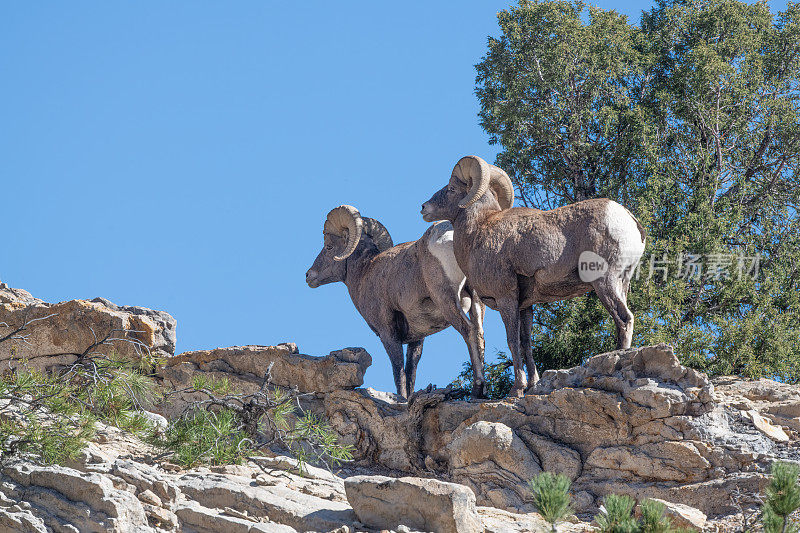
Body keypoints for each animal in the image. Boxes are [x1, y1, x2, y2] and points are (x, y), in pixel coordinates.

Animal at [306, 206, 488, 396]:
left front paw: (401, 398)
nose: (309, 275)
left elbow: (398, 372)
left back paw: (477, 388)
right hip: (477, 304)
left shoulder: (388, 334)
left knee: (468, 331)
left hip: (447, 300)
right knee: (479, 334)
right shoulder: (418, 338)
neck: (365, 271)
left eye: (329, 247)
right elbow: (410, 374)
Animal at [422, 154, 648, 394]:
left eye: (452, 188)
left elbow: (512, 341)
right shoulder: (525, 306)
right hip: (622, 283)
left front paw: (517, 388)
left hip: (604, 281)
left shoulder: (507, 298)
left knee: (624, 319)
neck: (478, 230)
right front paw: (532, 385)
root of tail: (630, 220)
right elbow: (526, 344)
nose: (424, 207)